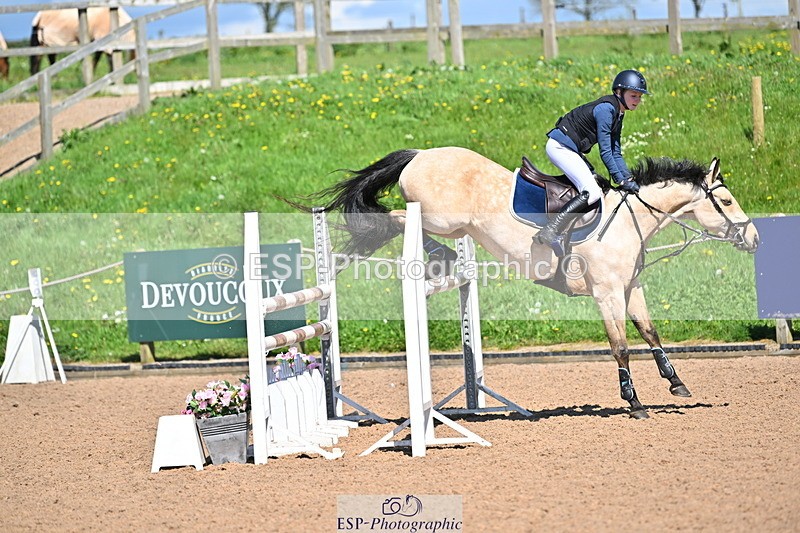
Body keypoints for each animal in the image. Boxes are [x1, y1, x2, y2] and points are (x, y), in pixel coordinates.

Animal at [306, 146, 760, 419]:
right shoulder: (606, 294)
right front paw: (634, 402)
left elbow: (650, 332)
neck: (630, 222)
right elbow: (621, 346)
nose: (754, 238)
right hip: (441, 218)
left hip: (454, 224)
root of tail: (421, 154)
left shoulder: (631, 289)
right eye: (728, 200)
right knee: (398, 219)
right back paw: (437, 255)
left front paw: (676, 383)